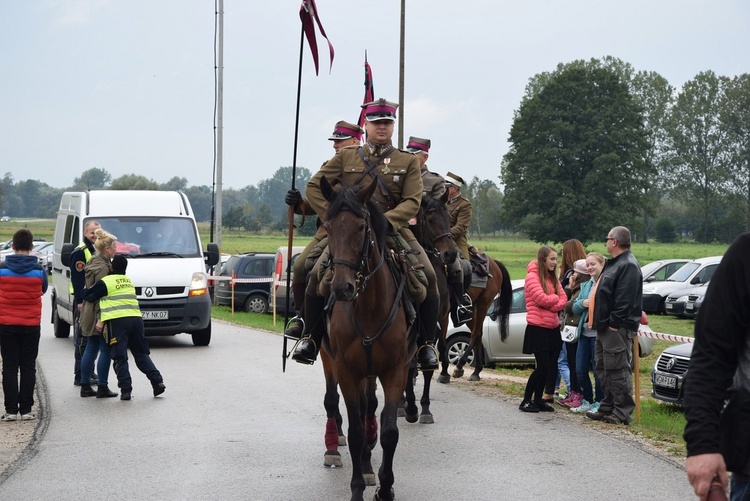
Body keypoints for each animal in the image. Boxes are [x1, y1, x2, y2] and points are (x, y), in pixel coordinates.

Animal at [320, 176, 418, 500]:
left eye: (361, 227)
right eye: (327, 227)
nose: (342, 288)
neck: (369, 307)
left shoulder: (395, 370)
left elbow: (389, 432)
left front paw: (385, 488)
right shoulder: (347, 370)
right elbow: (355, 431)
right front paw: (357, 489)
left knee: (369, 410)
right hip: (330, 359)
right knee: (337, 402)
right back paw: (337, 449)